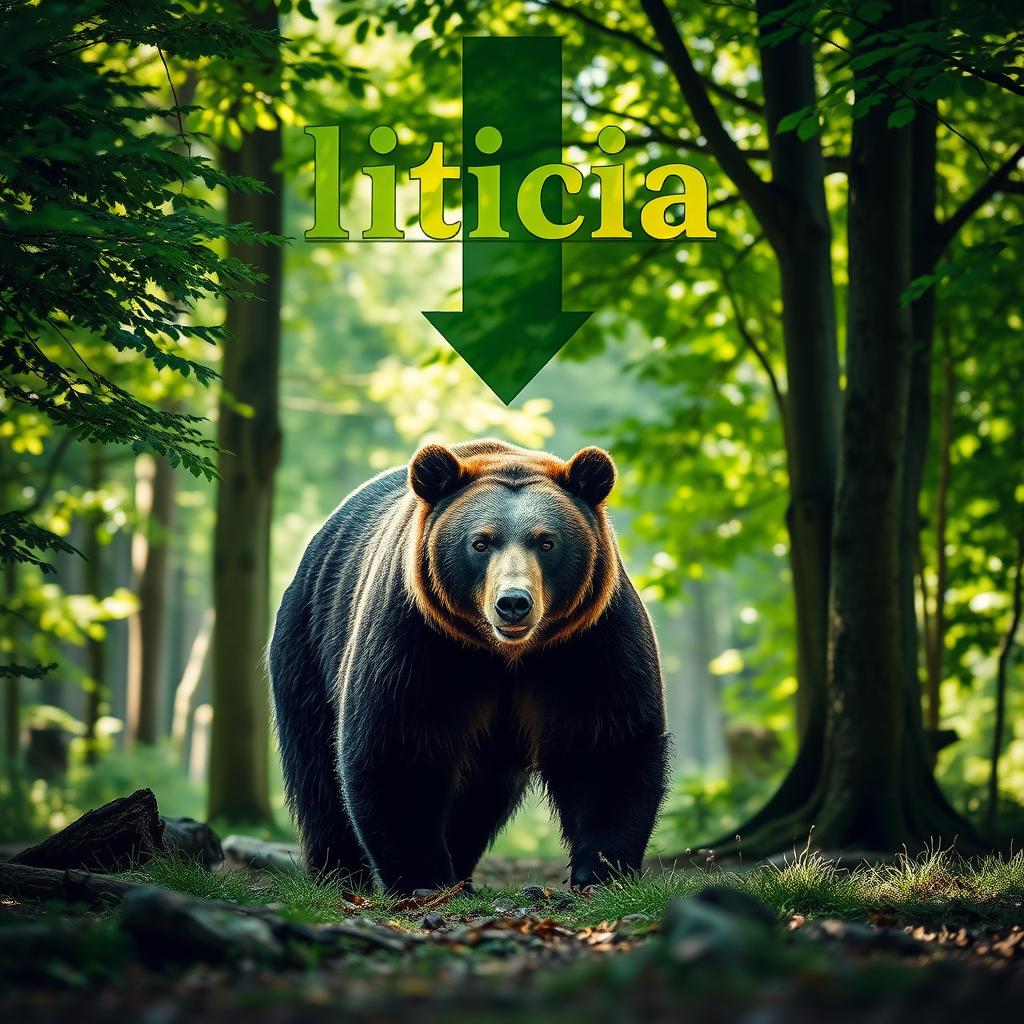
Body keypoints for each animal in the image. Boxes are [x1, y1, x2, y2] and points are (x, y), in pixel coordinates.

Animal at [269, 439, 669, 894]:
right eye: (480, 542)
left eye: (546, 542)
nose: (513, 602)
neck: (505, 655)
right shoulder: (418, 639)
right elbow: (398, 746)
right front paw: (421, 877)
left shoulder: (589, 640)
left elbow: (607, 747)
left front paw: (601, 871)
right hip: (307, 642)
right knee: (318, 772)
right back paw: (340, 872)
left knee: (481, 795)